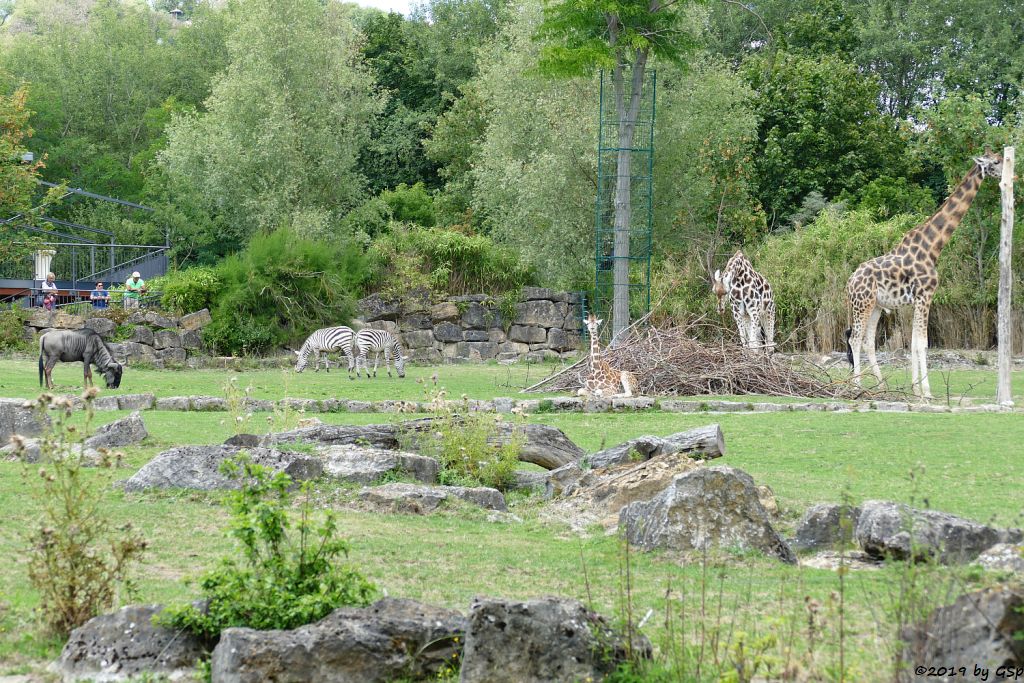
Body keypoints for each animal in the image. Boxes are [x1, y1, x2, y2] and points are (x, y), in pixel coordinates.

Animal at [843, 147, 1003, 397]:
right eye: (996, 161)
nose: (1010, 174)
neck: (933, 247)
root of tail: (849, 282)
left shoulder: (917, 300)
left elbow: (913, 342)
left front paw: (916, 389)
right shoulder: (926, 295)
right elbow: (922, 343)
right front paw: (926, 391)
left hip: (876, 306)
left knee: (867, 341)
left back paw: (881, 386)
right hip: (863, 303)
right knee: (855, 339)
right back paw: (857, 386)